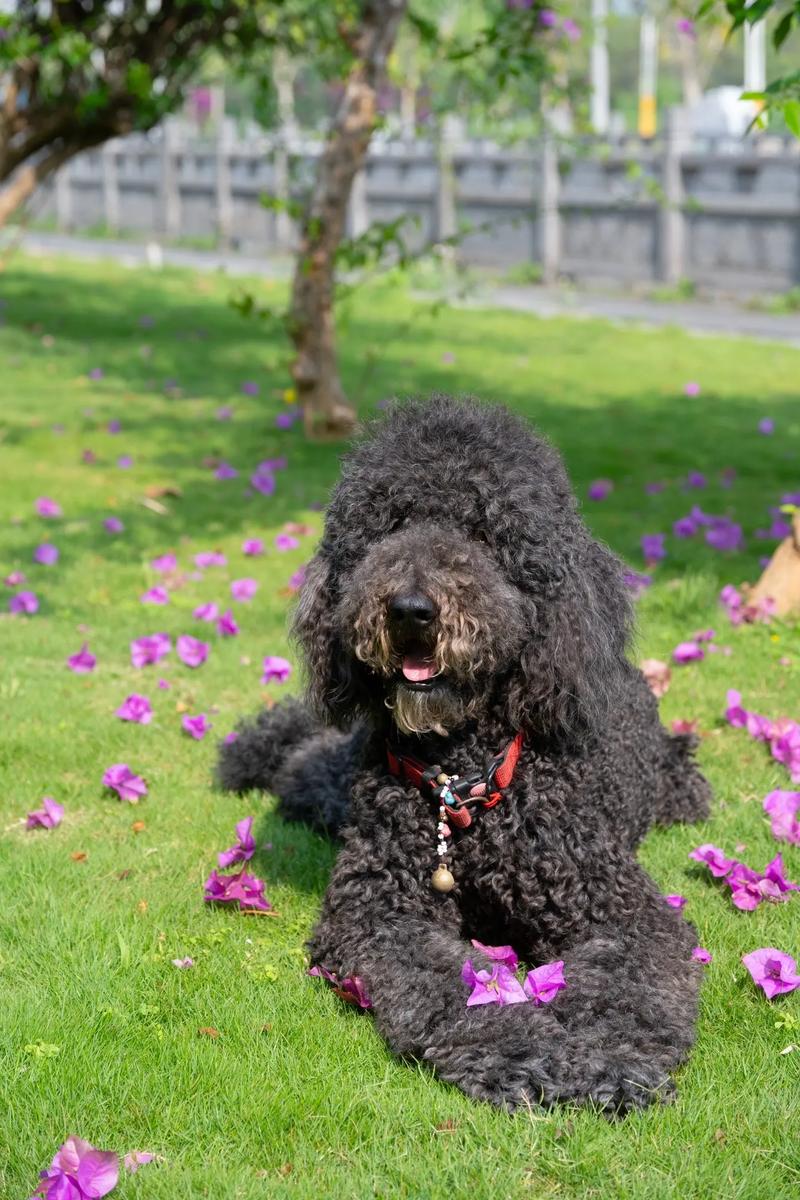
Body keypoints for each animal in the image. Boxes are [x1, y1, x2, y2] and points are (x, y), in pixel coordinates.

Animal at [217, 396, 705, 1113]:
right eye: (389, 527)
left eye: (483, 533)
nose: (411, 610)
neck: (464, 779)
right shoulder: (383, 913)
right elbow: (454, 987)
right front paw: (519, 1053)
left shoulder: (618, 908)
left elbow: (628, 989)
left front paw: (607, 1060)